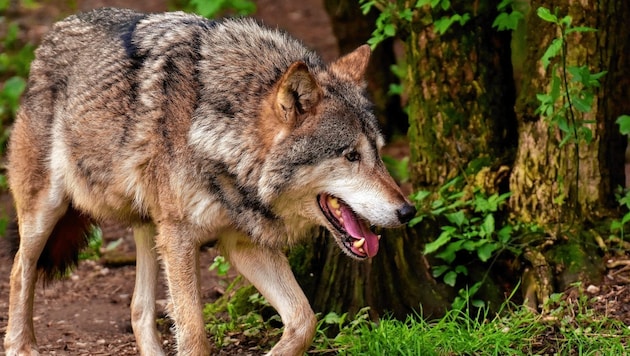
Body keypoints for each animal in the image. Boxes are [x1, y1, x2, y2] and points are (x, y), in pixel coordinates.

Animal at [4, 8, 420, 356]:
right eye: (350, 156)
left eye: (379, 152)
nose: (407, 211)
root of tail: (54, 31)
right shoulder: (181, 239)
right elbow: (194, 336)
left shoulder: (242, 243)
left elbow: (305, 320)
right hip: (48, 211)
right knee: (19, 270)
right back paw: (21, 346)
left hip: (151, 227)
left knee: (138, 309)